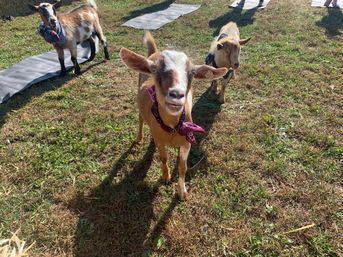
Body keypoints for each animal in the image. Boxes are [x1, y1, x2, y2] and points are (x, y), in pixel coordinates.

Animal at [120, 32, 228, 199]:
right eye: (154, 69)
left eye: (192, 73)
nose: (177, 94)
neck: (172, 127)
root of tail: (154, 52)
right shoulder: (160, 140)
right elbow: (163, 158)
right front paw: (166, 177)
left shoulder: (187, 141)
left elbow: (183, 167)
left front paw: (182, 192)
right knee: (140, 119)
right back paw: (139, 138)